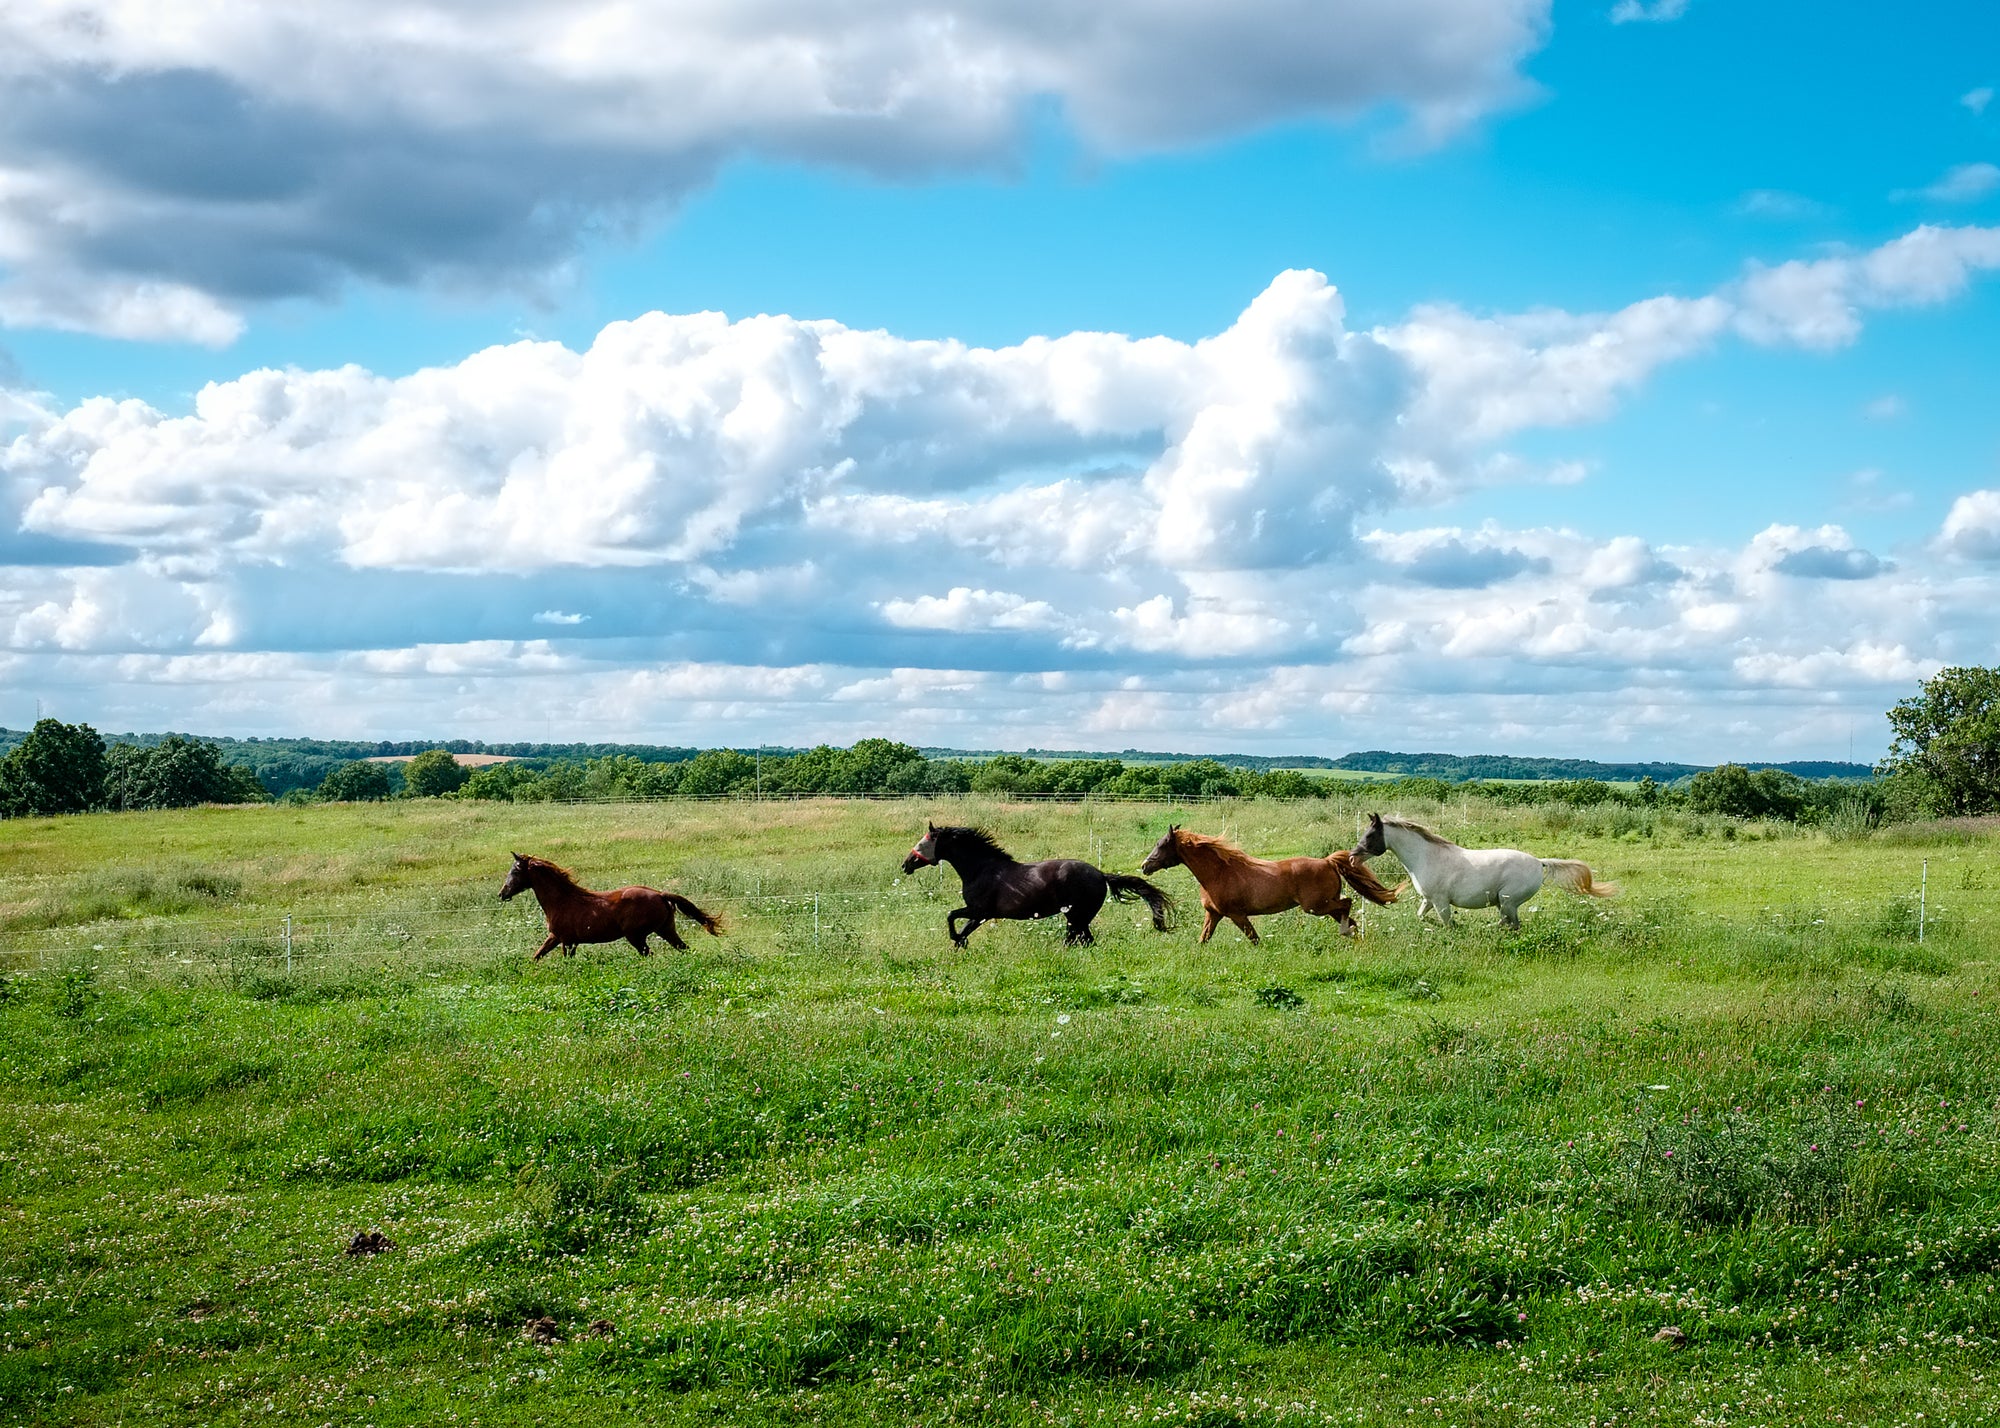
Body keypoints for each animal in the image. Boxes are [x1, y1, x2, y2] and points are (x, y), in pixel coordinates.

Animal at [498, 852, 723, 959]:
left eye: (515, 871)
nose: (502, 894)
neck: (561, 901)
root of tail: (659, 894)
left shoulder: (564, 940)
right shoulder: (560, 939)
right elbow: (537, 956)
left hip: (636, 936)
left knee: (649, 954)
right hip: (666, 930)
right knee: (684, 949)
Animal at [901, 823, 1174, 947]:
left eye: (923, 843)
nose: (906, 865)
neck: (981, 870)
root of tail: (1101, 875)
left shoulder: (980, 911)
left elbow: (951, 916)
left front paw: (957, 939)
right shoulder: (980, 915)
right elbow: (962, 927)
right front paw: (959, 943)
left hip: (1076, 916)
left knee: (1077, 939)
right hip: (1078, 918)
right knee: (1084, 940)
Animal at [1139, 824, 1398, 943]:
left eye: (1162, 845)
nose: (1144, 866)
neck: (1218, 873)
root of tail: (1327, 861)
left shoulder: (1236, 915)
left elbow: (1254, 938)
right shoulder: (1213, 914)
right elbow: (1204, 939)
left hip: (1316, 906)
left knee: (1347, 903)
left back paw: (1346, 933)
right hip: (1324, 906)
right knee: (1350, 916)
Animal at [1356, 813, 1618, 929]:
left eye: (1370, 835)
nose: (1352, 856)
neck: (1425, 857)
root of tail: (1538, 862)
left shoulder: (1441, 902)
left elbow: (1448, 924)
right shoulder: (1428, 900)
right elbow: (1421, 916)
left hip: (1508, 900)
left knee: (1511, 924)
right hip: (1505, 903)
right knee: (1509, 924)